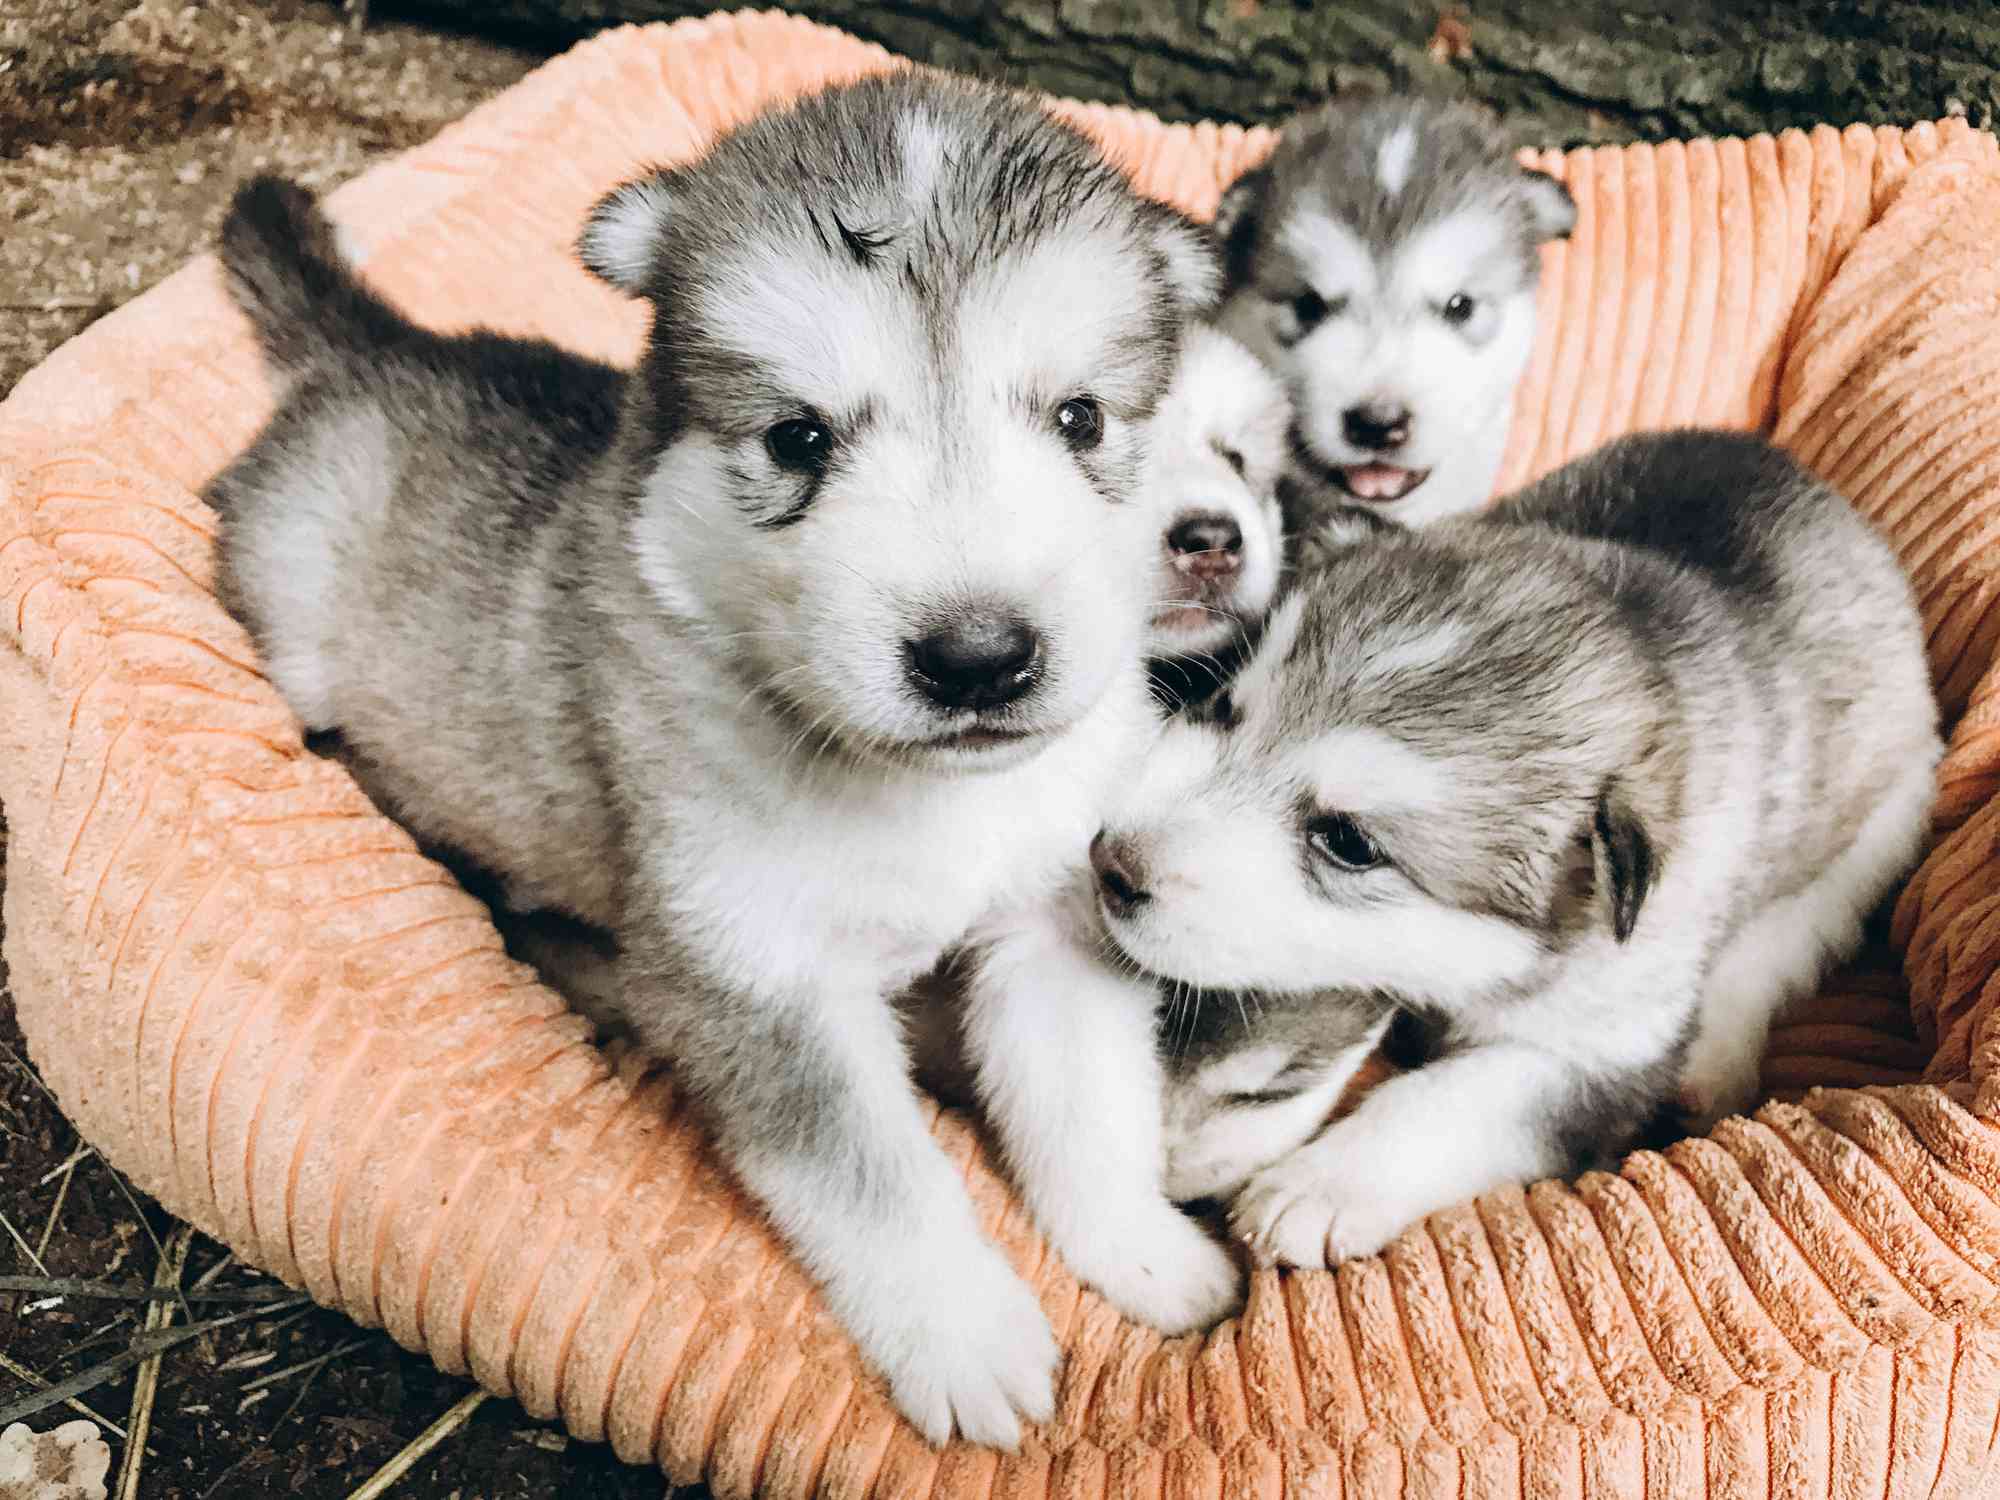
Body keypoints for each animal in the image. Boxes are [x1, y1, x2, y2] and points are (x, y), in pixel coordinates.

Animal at [211, 73, 1224, 1456]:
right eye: (797, 440)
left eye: (1080, 418)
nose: (977, 659)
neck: (921, 801)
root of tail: (378, 350)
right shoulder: (754, 971)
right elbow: (876, 1180)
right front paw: (964, 1334)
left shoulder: (1052, 917)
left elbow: (1084, 1104)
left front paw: (1143, 1249)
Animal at [1096, 432, 1936, 1272]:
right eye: (1222, 709)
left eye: (1349, 842)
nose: (1110, 863)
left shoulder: (1600, 1043)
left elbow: (1460, 1095)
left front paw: (1317, 1187)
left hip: (1886, 813)